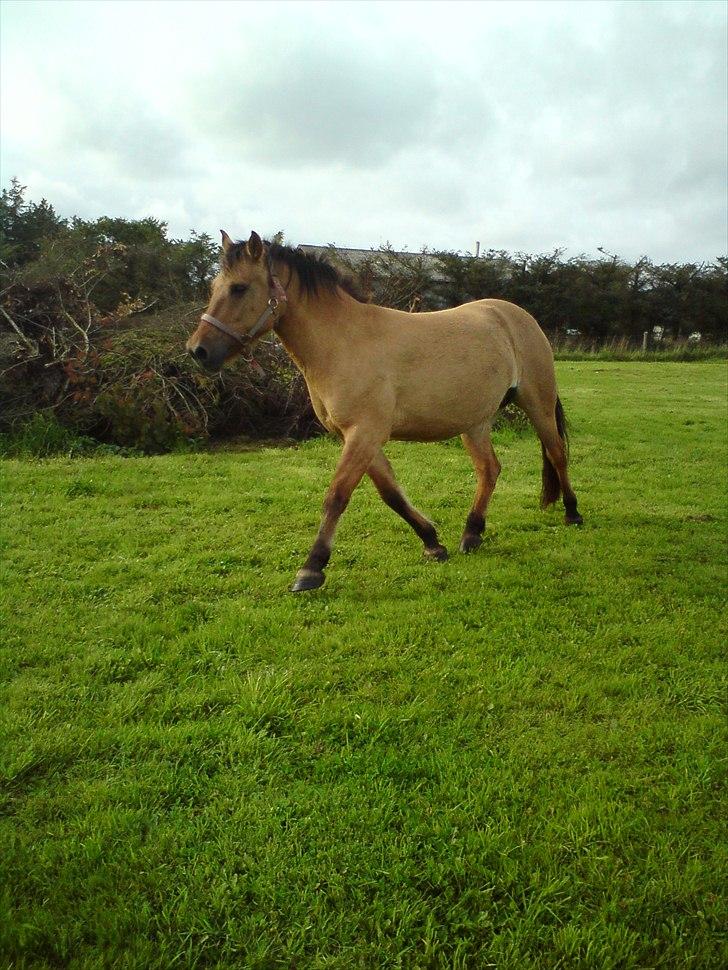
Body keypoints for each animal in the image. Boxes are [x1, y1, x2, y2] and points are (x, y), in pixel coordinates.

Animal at [185, 233, 584, 588]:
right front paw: (432, 543)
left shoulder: (364, 433)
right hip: (475, 422)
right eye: (214, 287)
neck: (344, 342)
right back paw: (471, 533)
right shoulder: (359, 437)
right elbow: (391, 493)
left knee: (557, 453)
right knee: (490, 469)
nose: (197, 350)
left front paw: (311, 568)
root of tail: (515, 316)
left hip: (537, 404)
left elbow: (337, 496)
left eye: (238, 288)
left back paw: (572, 513)